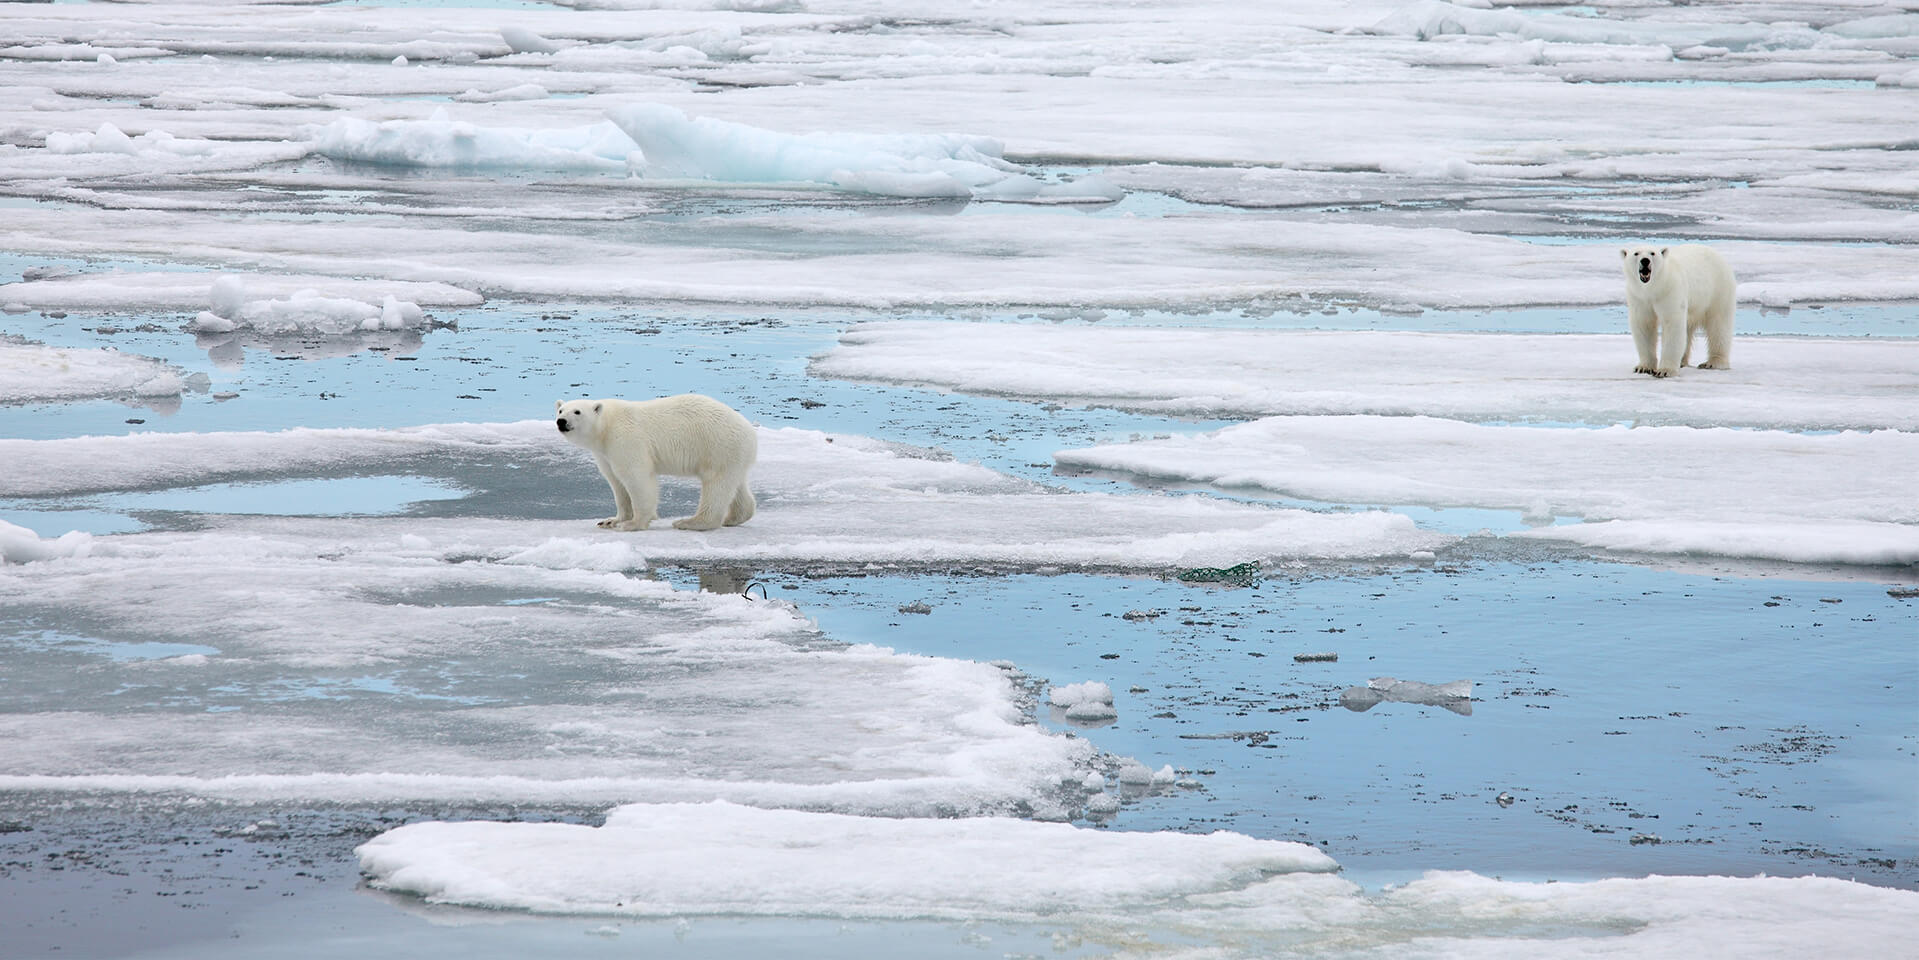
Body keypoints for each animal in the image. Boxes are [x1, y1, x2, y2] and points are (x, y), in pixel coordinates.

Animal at [552, 393, 752, 537]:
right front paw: (611, 521)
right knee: (735, 485)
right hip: (732, 454)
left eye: (577, 412)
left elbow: (636, 477)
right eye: (561, 410)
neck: (606, 426)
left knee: (715, 485)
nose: (561, 421)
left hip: (716, 445)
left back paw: (690, 522)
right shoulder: (604, 453)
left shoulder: (625, 439)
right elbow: (616, 482)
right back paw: (733, 517)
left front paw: (632, 524)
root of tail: (750, 432)